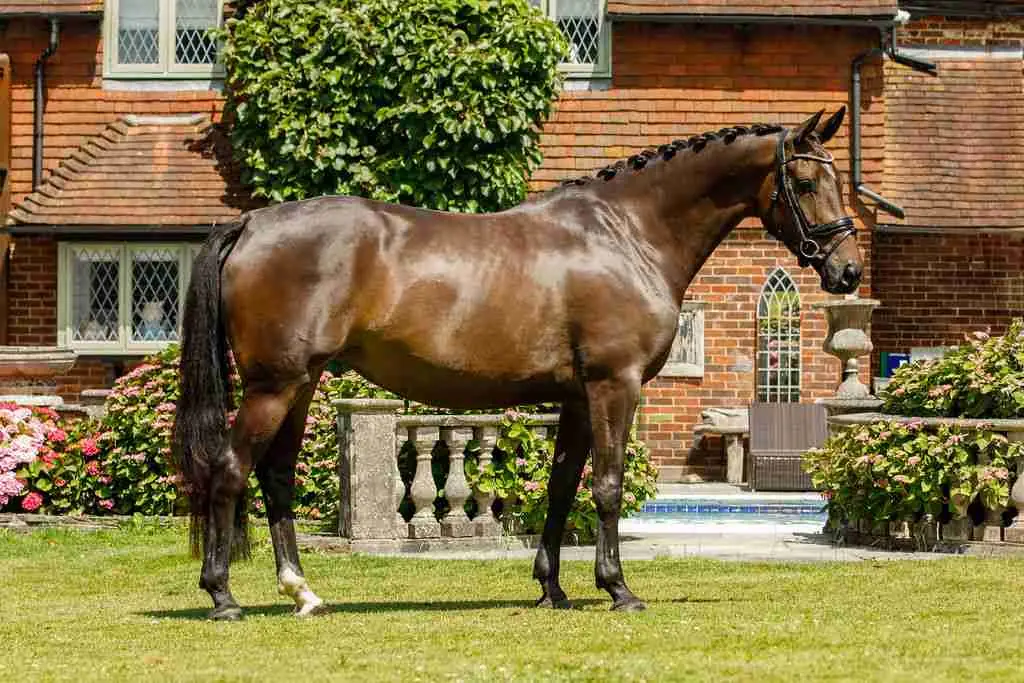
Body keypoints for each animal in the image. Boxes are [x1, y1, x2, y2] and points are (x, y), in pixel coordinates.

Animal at [173, 107, 862, 620]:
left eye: (838, 180)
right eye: (805, 183)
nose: (848, 271)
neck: (626, 233)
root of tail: (253, 223)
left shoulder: (578, 396)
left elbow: (561, 489)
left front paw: (552, 588)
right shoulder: (614, 386)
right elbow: (608, 487)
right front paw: (618, 588)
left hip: (300, 383)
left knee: (276, 476)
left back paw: (303, 592)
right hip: (274, 385)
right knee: (230, 470)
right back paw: (223, 596)